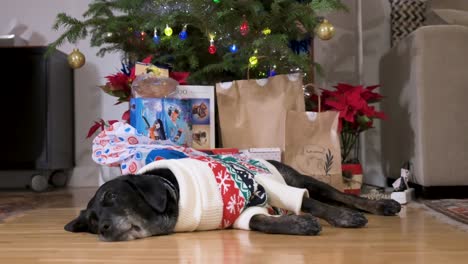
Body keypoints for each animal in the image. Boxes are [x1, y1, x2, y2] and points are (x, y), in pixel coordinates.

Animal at [66, 158, 402, 242]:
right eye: (92, 222)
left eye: (111, 196)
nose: (103, 229)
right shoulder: (238, 214)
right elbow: (261, 221)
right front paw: (297, 224)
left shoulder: (269, 188)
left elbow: (317, 207)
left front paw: (341, 219)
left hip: (300, 180)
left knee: (339, 196)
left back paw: (381, 204)